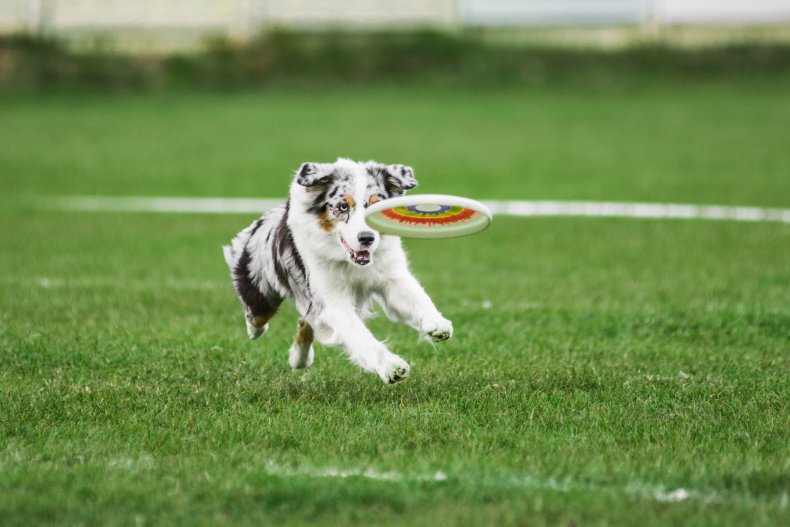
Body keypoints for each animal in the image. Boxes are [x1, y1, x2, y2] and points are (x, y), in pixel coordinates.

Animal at [226, 157, 454, 384]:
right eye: (342, 206)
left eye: (376, 204)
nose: (367, 238)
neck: (352, 263)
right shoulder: (332, 301)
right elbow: (360, 336)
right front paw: (391, 366)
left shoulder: (391, 276)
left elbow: (417, 298)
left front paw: (437, 324)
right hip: (259, 291)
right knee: (258, 316)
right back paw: (257, 331)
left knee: (305, 322)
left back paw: (299, 359)